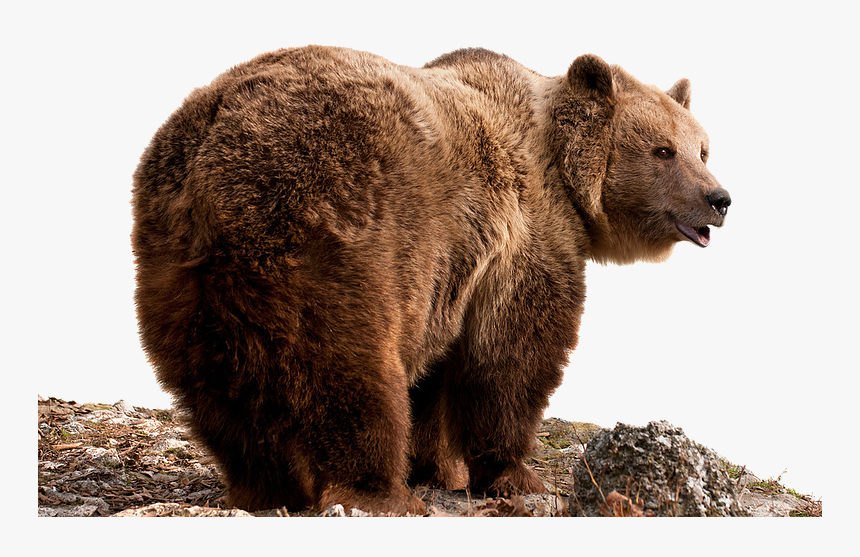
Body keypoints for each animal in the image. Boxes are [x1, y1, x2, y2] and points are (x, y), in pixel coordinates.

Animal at [131, 45, 730, 515]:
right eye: (663, 150)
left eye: (702, 148)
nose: (719, 198)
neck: (563, 173)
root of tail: (212, 164)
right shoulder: (524, 238)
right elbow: (512, 354)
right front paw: (512, 473)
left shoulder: (457, 271)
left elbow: (442, 372)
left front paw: (440, 467)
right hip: (336, 231)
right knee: (354, 369)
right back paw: (379, 492)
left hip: (184, 276)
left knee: (221, 391)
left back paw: (265, 488)